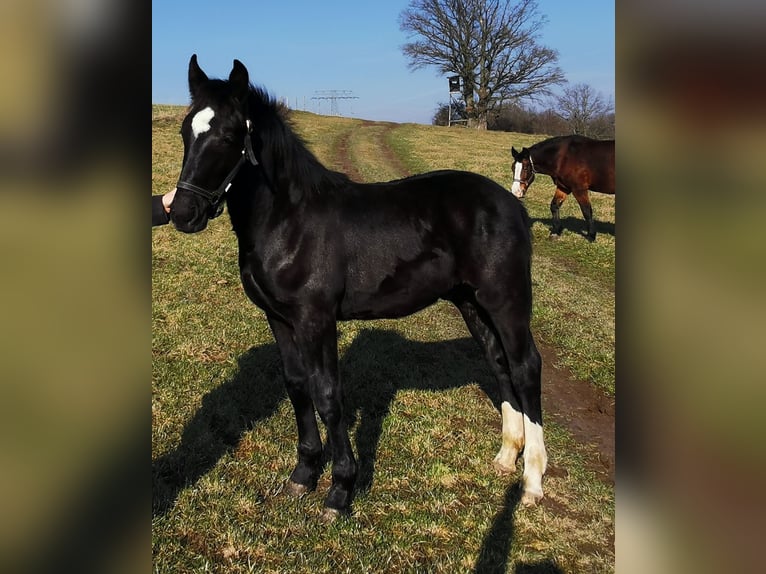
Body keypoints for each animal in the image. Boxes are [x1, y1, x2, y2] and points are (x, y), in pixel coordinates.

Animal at [170, 57, 548, 520]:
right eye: (186, 131)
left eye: (228, 135)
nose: (183, 213)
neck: (289, 220)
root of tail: (512, 204)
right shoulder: (279, 318)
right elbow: (297, 387)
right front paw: (302, 476)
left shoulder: (316, 320)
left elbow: (328, 395)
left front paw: (339, 490)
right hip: (471, 302)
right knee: (499, 363)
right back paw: (506, 458)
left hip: (506, 300)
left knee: (525, 367)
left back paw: (531, 481)